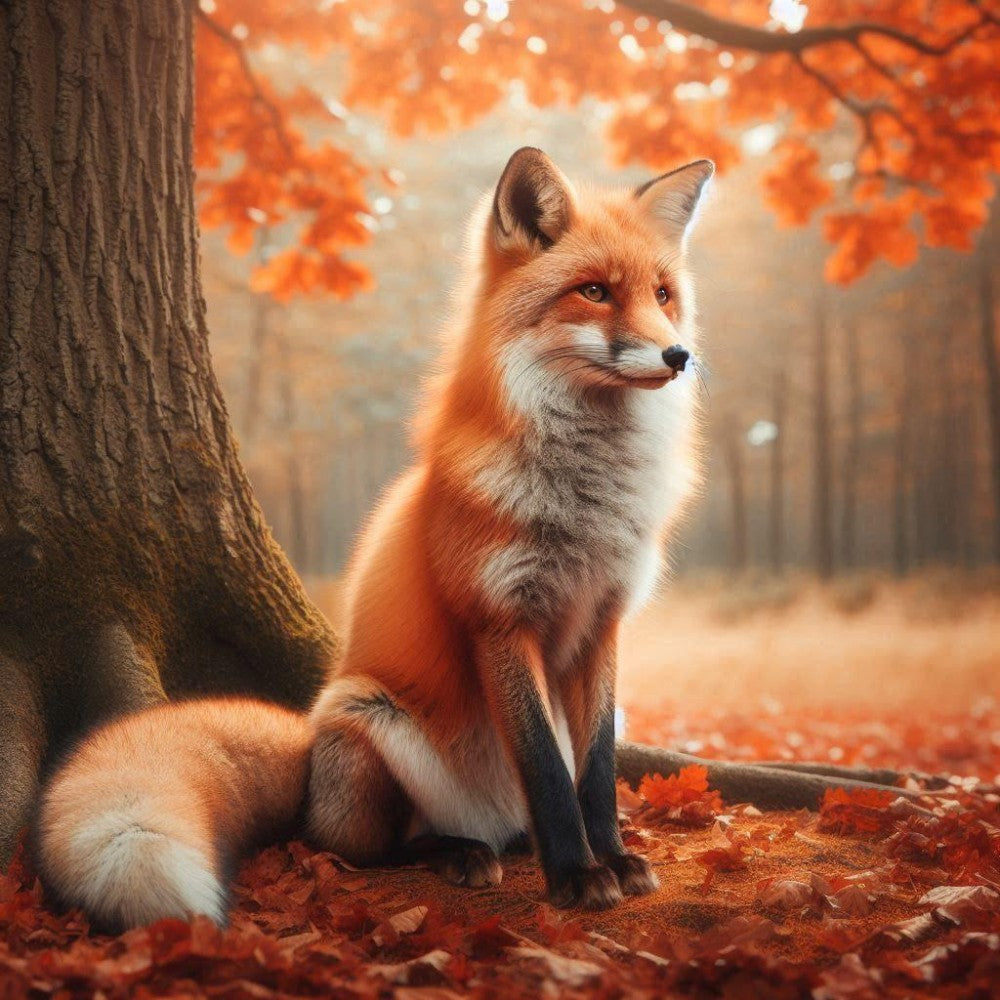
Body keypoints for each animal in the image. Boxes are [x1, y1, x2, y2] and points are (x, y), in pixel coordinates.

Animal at [35, 147, 713, 930]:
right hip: (368, 720)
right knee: (353, 847)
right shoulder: (498, 620)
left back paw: (510, 846)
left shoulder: (602, 623)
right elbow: (547, 767)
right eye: (594, 292)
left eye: (663, 295)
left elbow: (595, 773)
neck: (587, 506)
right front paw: (575, 874)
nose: (678, 355)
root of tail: (306, 754)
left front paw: (612, 858)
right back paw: (456, 852)